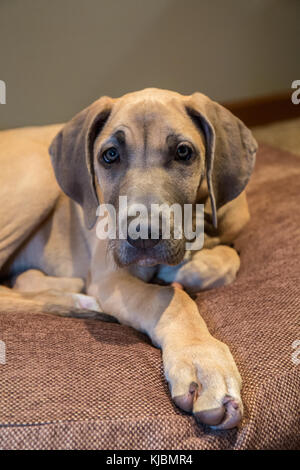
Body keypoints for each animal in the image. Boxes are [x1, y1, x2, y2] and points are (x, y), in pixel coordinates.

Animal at [0, 87, 258, 430]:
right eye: (110, 155)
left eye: (183, 152)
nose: (143, 234)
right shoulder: (111, 277)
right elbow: (169, 300)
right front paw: (201, 362)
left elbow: (228, 257)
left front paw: (187, 269)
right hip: (36, 174)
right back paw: (82, 300)